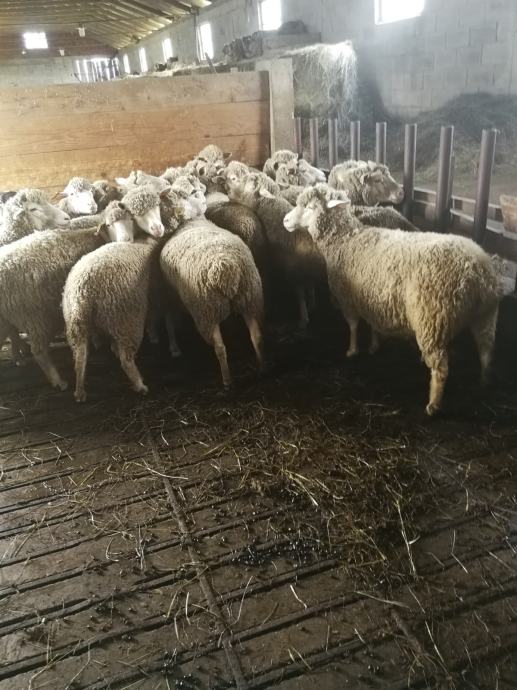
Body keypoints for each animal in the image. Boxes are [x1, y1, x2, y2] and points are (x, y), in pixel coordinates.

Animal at [0, 228, 103, 388]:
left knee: (11, 336)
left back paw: (19, 358)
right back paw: (58, 381)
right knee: (39, 351)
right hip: (35, 318)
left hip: (7, 319)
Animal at [159, 194, 264, 388]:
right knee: (257, 336)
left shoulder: (170, 295)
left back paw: (227, 381)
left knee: (220, 348)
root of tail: (225, 268)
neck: (191, 222)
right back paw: (262, 368)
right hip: (250, 298)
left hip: (206, 310)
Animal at [226, 172, 326, 329]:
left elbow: (300, 295)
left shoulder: (294, 272)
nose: (228, 189)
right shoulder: (306, 272)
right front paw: (312, 306)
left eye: (250, 183)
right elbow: (310, 287)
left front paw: (303, 319)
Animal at [283, 184, 502, 415]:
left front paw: (352, 350)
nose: (285, 221)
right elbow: (372, 324)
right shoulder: (372, 297)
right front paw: (374, 346)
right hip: (486, 316)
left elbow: (353, 326)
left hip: (431, 320)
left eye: (309, 207)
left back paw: (433, 404)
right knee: (486, 350)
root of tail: (476, 272)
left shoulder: (347, 297)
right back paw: (485, 381)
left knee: (441, 368)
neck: (345, 240)